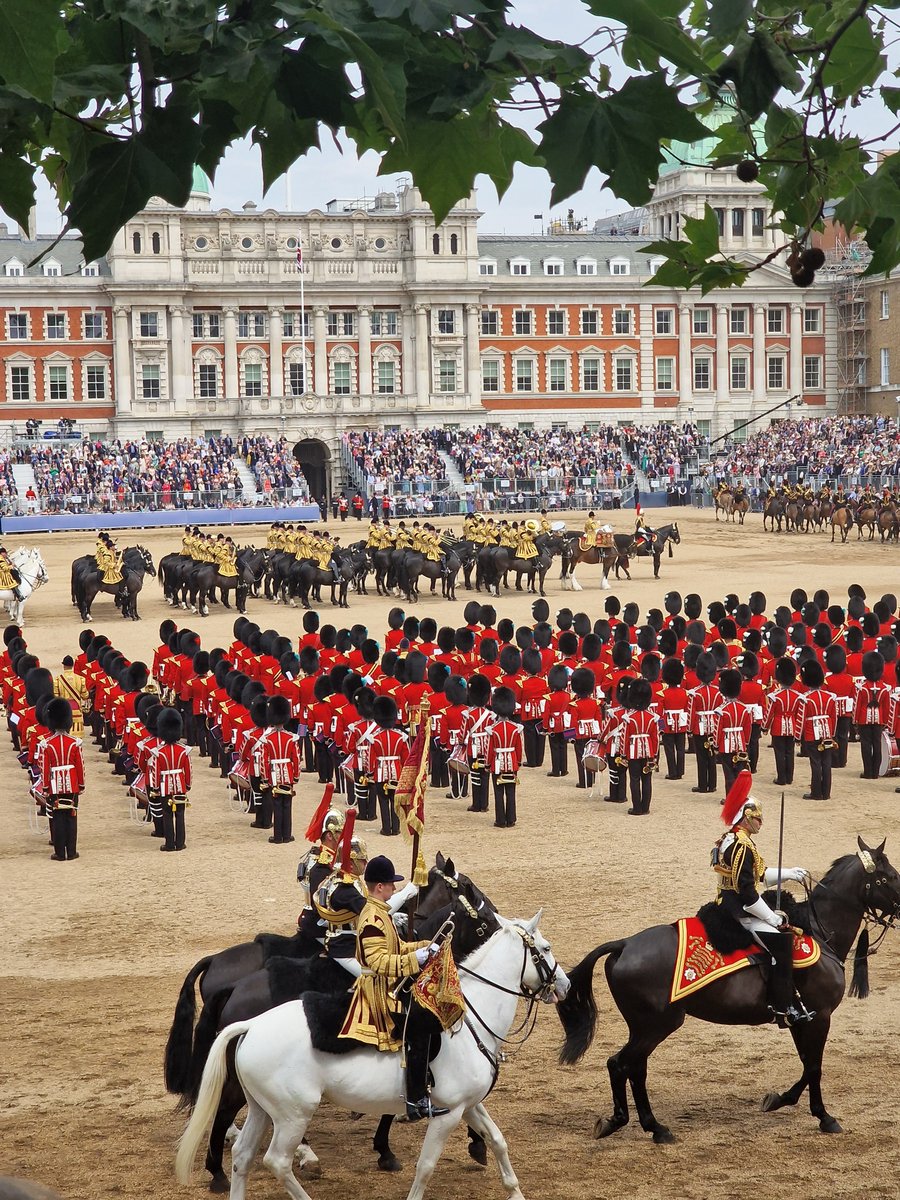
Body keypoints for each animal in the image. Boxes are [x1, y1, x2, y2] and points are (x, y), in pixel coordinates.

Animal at [177, 907, 571, 1200]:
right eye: (547, 947)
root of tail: (252, 1026)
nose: (565, 985)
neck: (468, 1016)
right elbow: (426, 1167)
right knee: (275, 1160)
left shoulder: (467, 1104)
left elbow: (498, 1140)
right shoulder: (447, 1114)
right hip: (293, 1115)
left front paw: (513, 1189)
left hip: (262, 1109)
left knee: (242, 1157)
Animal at [556, 840, 900, 1137]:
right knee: (621, 1064)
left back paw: (649, 1125)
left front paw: (780, 1099)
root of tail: (625, 944)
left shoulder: (800, 1017)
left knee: (634, 1068)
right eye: (890, 877)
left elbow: (806, 1063)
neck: (818, 931)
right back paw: (636, 1124)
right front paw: (824, 1116)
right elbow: (814, 1066)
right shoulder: (821, 1016)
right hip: (657, 1025)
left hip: (644, 1027)